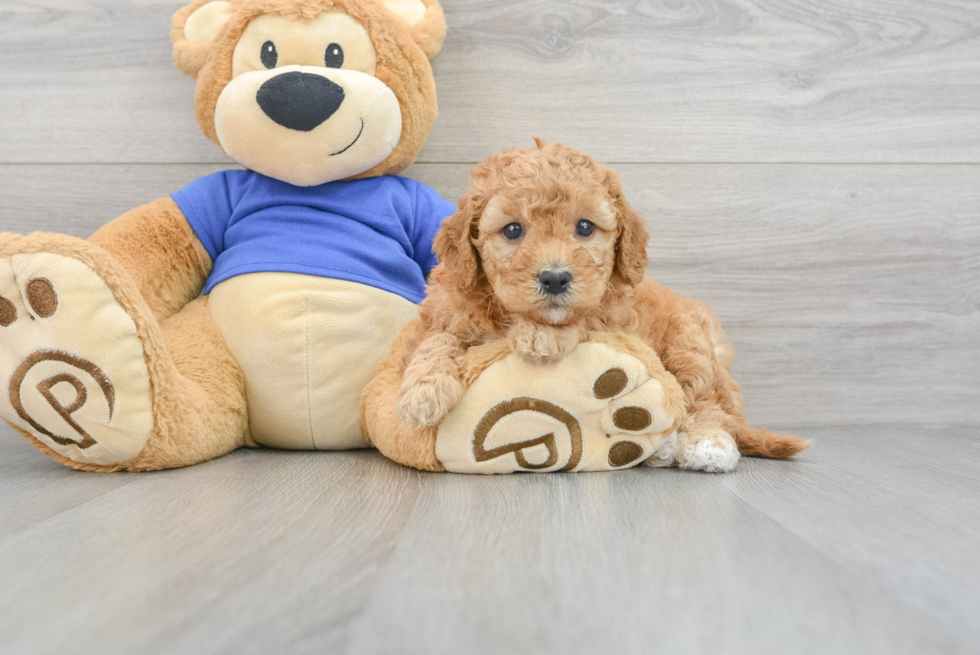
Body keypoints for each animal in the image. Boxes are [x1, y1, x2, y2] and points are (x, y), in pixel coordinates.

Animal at [398, 142, 812, 472]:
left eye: (585, 227)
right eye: (513, 230)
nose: (554, 279)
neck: (513, 314)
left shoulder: (613, 314)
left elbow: (585, 318)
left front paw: (542, 337)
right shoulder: (446, 310)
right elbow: (436, 339)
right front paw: (422, 390)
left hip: (693, 339)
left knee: (705, 400)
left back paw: (703, 444)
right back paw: (663, 449)